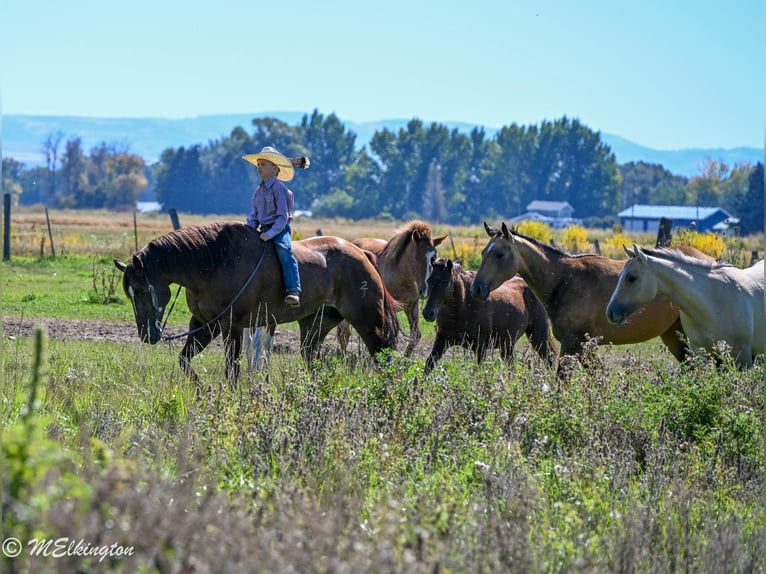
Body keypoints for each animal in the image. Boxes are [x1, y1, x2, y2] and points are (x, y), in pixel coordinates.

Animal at [114, 222, 399, 392]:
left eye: (142, 291)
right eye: (129, 294)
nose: (147, 335)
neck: (213, 264)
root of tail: (363, 255)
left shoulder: (232, 325)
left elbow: (232, 369)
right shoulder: (204, 324)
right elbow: (184, 360)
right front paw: (204, 390)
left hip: (367, 320)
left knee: (383, 354)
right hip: (315, 324)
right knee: (313, 360)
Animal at [336, 221, 448, 356]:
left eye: (434, 258)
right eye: (416, 257)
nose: (424, 291)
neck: (402, 277)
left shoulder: (411, 306)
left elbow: (415, 335)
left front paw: (405, 358)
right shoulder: (391, 307)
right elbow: (392, 333)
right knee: (344, 332)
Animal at [421, 257, 558, 374]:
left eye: (445, 282)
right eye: (429, 280)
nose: (428, 313)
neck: (462, 308)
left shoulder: (480, 346)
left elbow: (479, 369)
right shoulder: (442, 339)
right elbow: (429, 363)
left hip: (538, 335)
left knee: (550, 357)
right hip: (508, 345)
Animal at [470, 222, 718, 374]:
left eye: (499, 254)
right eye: (483, 252)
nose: (477, 288)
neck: (565, 280)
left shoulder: (573, 344)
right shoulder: (585, 347)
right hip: (673, 335)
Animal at [606, 245, 765, 368]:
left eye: (631, 278)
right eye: (619, 275)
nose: (610, 313)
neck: (712, 301)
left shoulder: (741, 357)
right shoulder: (702, 352)